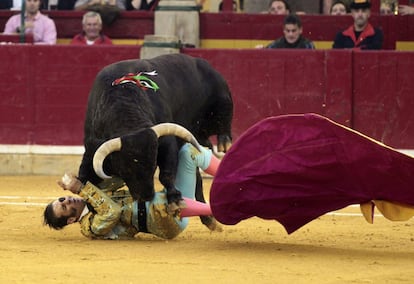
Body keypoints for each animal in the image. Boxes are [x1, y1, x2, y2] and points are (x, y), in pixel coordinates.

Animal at [77, 53, 233, 226]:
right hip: (197, 135)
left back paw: (225, 143)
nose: (146, 196)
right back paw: (208, 218)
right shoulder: (91, 151)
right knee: (199, 171)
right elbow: (85, 182)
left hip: (220, 102)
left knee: (223, 120)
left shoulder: (166, 142)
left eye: (153, 166)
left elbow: (166, 174)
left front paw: (175, 201)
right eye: (125, 170)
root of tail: (200, 62)